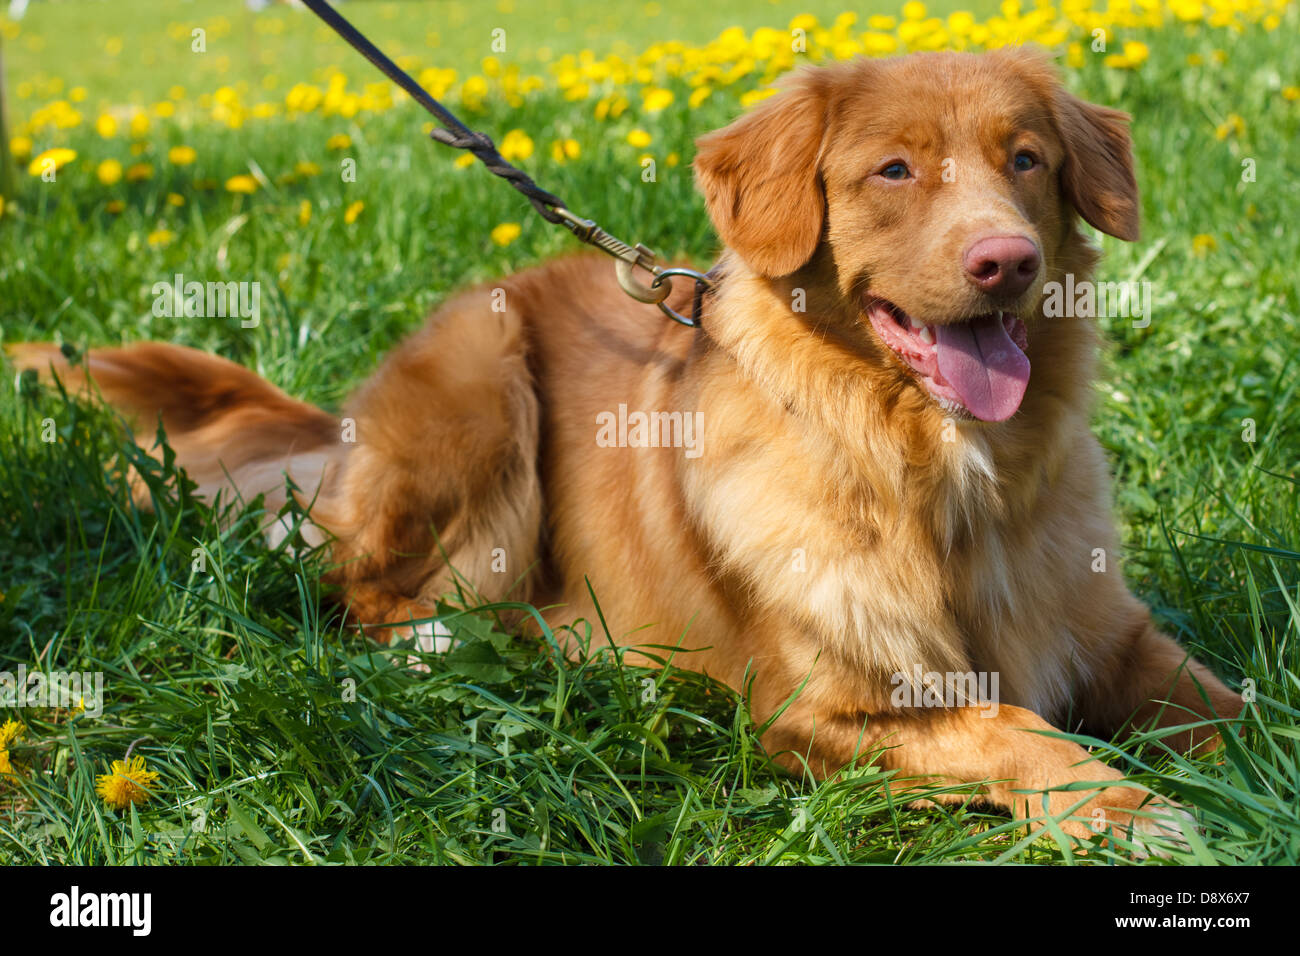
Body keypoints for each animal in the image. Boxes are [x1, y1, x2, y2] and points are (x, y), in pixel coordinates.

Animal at [10, 46, 1237, 853]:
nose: (1007, 262)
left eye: (1025, 159)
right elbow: (1014, 725)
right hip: (481, 377)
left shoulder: (1116, 635)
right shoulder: (820, 710)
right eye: (893, 171)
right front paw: (1128, 807)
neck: (941, 477)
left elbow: (1231, 703)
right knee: (365, 594)